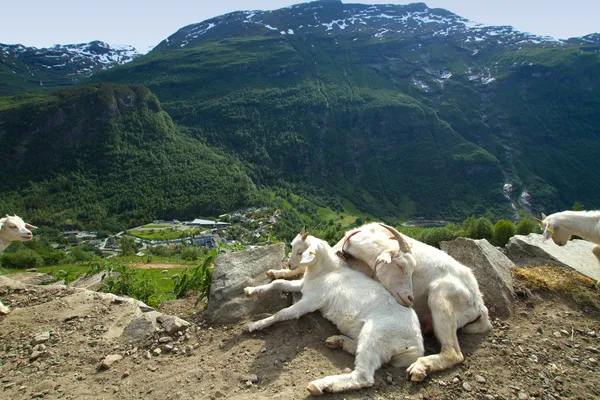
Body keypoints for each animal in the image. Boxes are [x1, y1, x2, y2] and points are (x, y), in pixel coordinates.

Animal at [243, 230, 422, 396]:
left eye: (300, 252)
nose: (290, 265)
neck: (328, 271)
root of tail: (417, 347)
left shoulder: (311, 301)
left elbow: (283, 312)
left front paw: (255, 325)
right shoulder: (304, 285)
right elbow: (279, 283)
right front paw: (250, 291)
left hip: (377, 334)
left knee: (363, 376)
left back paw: (321, 385)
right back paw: (339, 341)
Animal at [268, 222, 492, 382]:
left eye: (411, 269)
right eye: (400, 266)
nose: (409, 298)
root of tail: (480, 306)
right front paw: (276, 272)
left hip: (442, 296)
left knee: (453, 352)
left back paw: (421, 367)